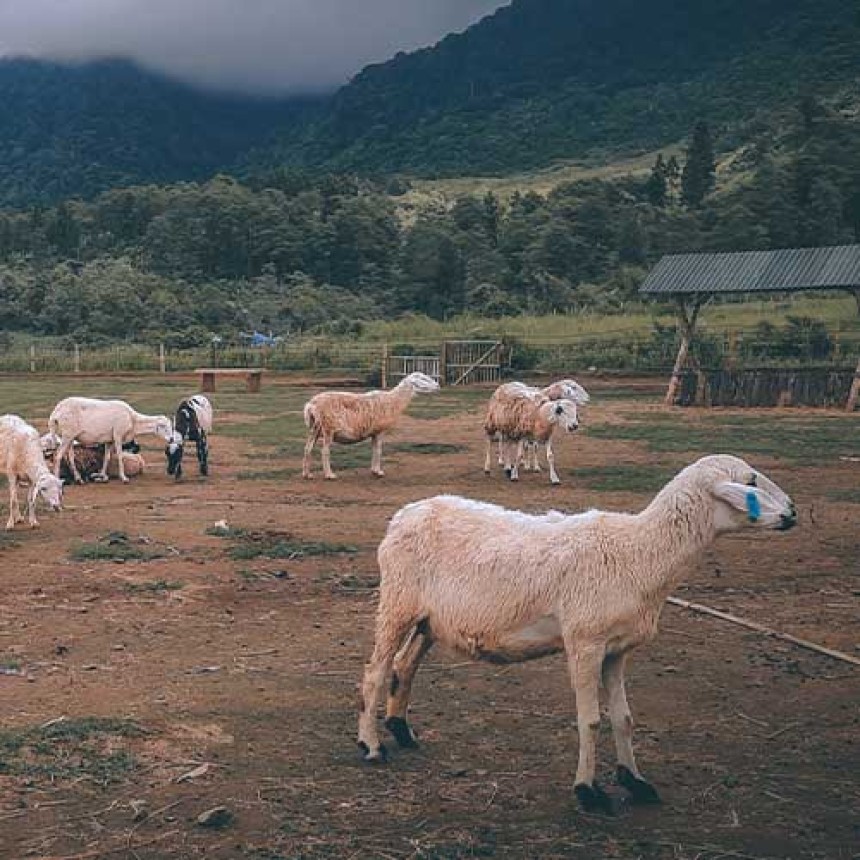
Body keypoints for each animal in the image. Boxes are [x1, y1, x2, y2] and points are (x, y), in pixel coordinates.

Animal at [302, 370, 440, 480]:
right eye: (422, 378)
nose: (438, 386)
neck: (394, 401)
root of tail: (311, 405)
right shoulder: (380, 430)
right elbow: (378, 450)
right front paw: (378, 472)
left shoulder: (374, 432)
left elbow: (374, 450)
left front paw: (374, 470)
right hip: (328, 428)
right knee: (325, 451)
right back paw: (329, 475)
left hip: (315, 428)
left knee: (308, 448)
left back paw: (307, 474)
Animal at [358, 456, 800, 812]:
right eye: (751, 481)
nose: (793, 512)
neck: (641, 552)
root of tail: (406, 512)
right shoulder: (585, 642)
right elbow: (590, 721)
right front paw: (589, 792)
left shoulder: (617, 649)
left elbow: (623, 718)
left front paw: (634, 781)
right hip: (397, 602)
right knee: (376, 672)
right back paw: (371, 746)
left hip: (430, 619)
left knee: (405, 664)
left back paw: (401, 730)